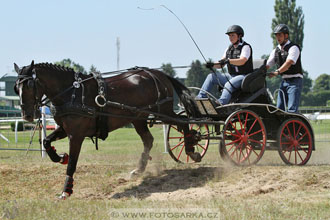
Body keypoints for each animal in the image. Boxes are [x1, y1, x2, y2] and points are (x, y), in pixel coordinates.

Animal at [14, 60, 201, 199]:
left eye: (30, 84)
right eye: (17, 87)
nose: (27, 115)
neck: (72, 92)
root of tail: (158, 73)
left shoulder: (76, 134)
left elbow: (73, 164)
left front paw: (66, 190)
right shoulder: (65, 129)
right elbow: (46, 141)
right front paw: (60, 157)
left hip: (164, 112)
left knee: (183, 122)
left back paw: (192, 151)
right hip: (138, 118)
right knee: (149, 140)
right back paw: (138, 170)